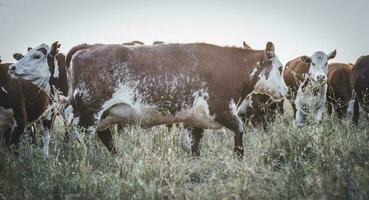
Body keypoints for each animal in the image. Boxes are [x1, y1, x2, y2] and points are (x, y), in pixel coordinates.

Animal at [13, 41, 288, 158]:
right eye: (280, 67)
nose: (285, 90)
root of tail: (86, 48)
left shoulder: (194, 120)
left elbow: (194, 147)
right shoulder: (222, 109)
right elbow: (240, 135)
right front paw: (239, 161)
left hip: (101, 117)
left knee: (104, 138)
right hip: (88, 114)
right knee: (79, 140)